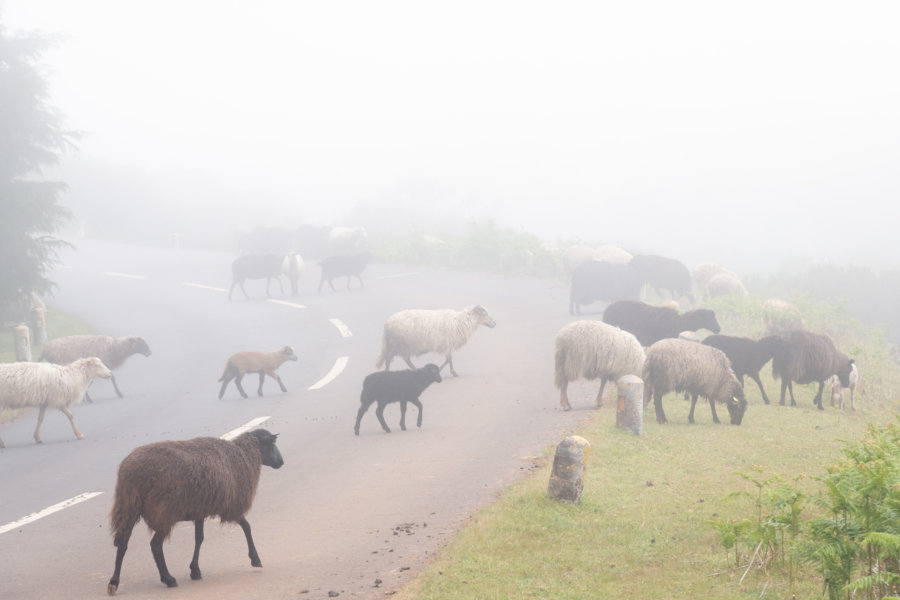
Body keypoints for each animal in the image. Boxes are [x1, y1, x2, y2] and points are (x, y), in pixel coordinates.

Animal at [105, 428, 284, 592]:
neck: (244, 454)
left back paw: (114, 582)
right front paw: (255, 559)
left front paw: (195, 570)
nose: (281, 462)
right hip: (163, 512)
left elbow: (199, 538)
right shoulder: (230, 505)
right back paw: (168, 579)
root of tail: (132, 472)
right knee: (155, 545)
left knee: (123, 544)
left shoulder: (200, 510)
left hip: (128, 507)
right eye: (272, 444)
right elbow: (247, 526)